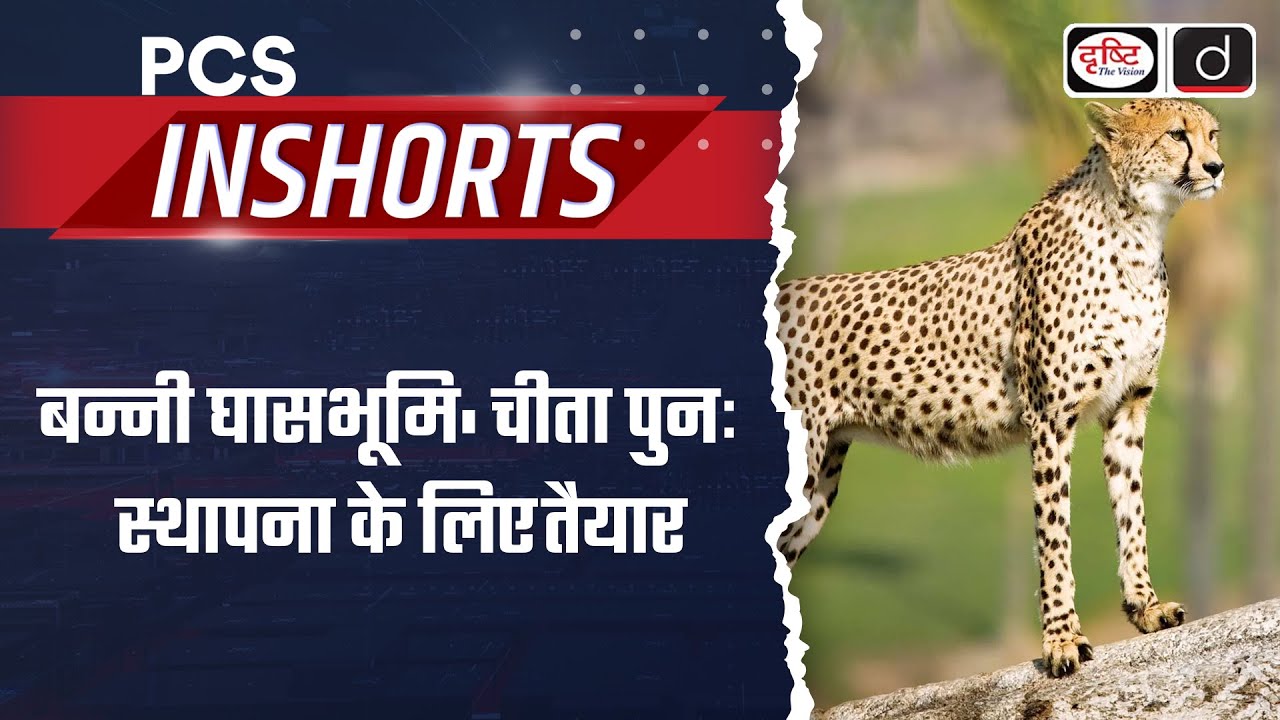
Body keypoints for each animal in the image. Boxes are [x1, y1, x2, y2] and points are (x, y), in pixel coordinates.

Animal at [776, 99, 1225, 677]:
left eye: (1213, 133)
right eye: (1176, 135)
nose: (1216, 166)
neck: (1138, 233)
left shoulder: (1128, 407)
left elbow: (1132, 512)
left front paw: (1145, 607)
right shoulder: (1050, 418)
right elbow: (1054, 533)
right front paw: (1061, 641)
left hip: (816, 487)